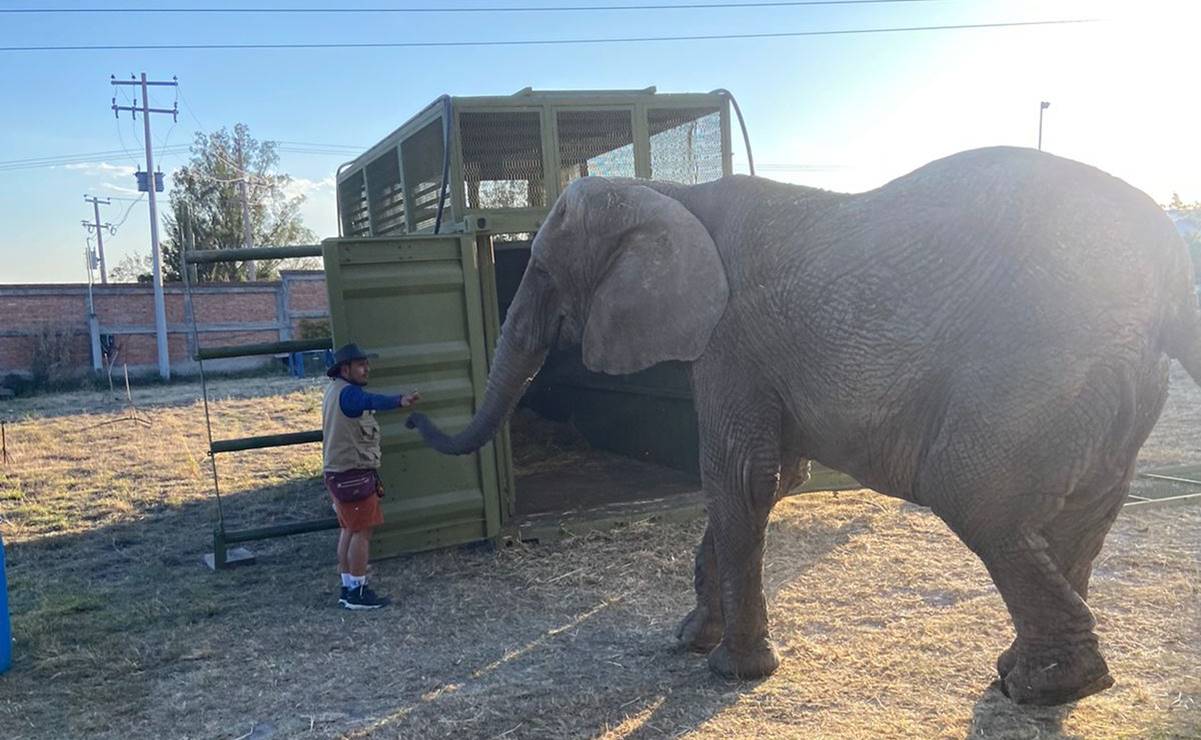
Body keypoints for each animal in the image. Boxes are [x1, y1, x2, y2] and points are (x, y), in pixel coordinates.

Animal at [405, 145, 1201, 706]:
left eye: (539, 271)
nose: (411, 412)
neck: (670, 194)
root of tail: (1168, 272)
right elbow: (766, 479)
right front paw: (688, 642)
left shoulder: (730, 335)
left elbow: (739, 476)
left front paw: (731, 671)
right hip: (1113, 387)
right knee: (1079, 516)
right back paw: (1021, 675)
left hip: (1037, 364)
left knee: (975, 495)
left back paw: (1046, 689)